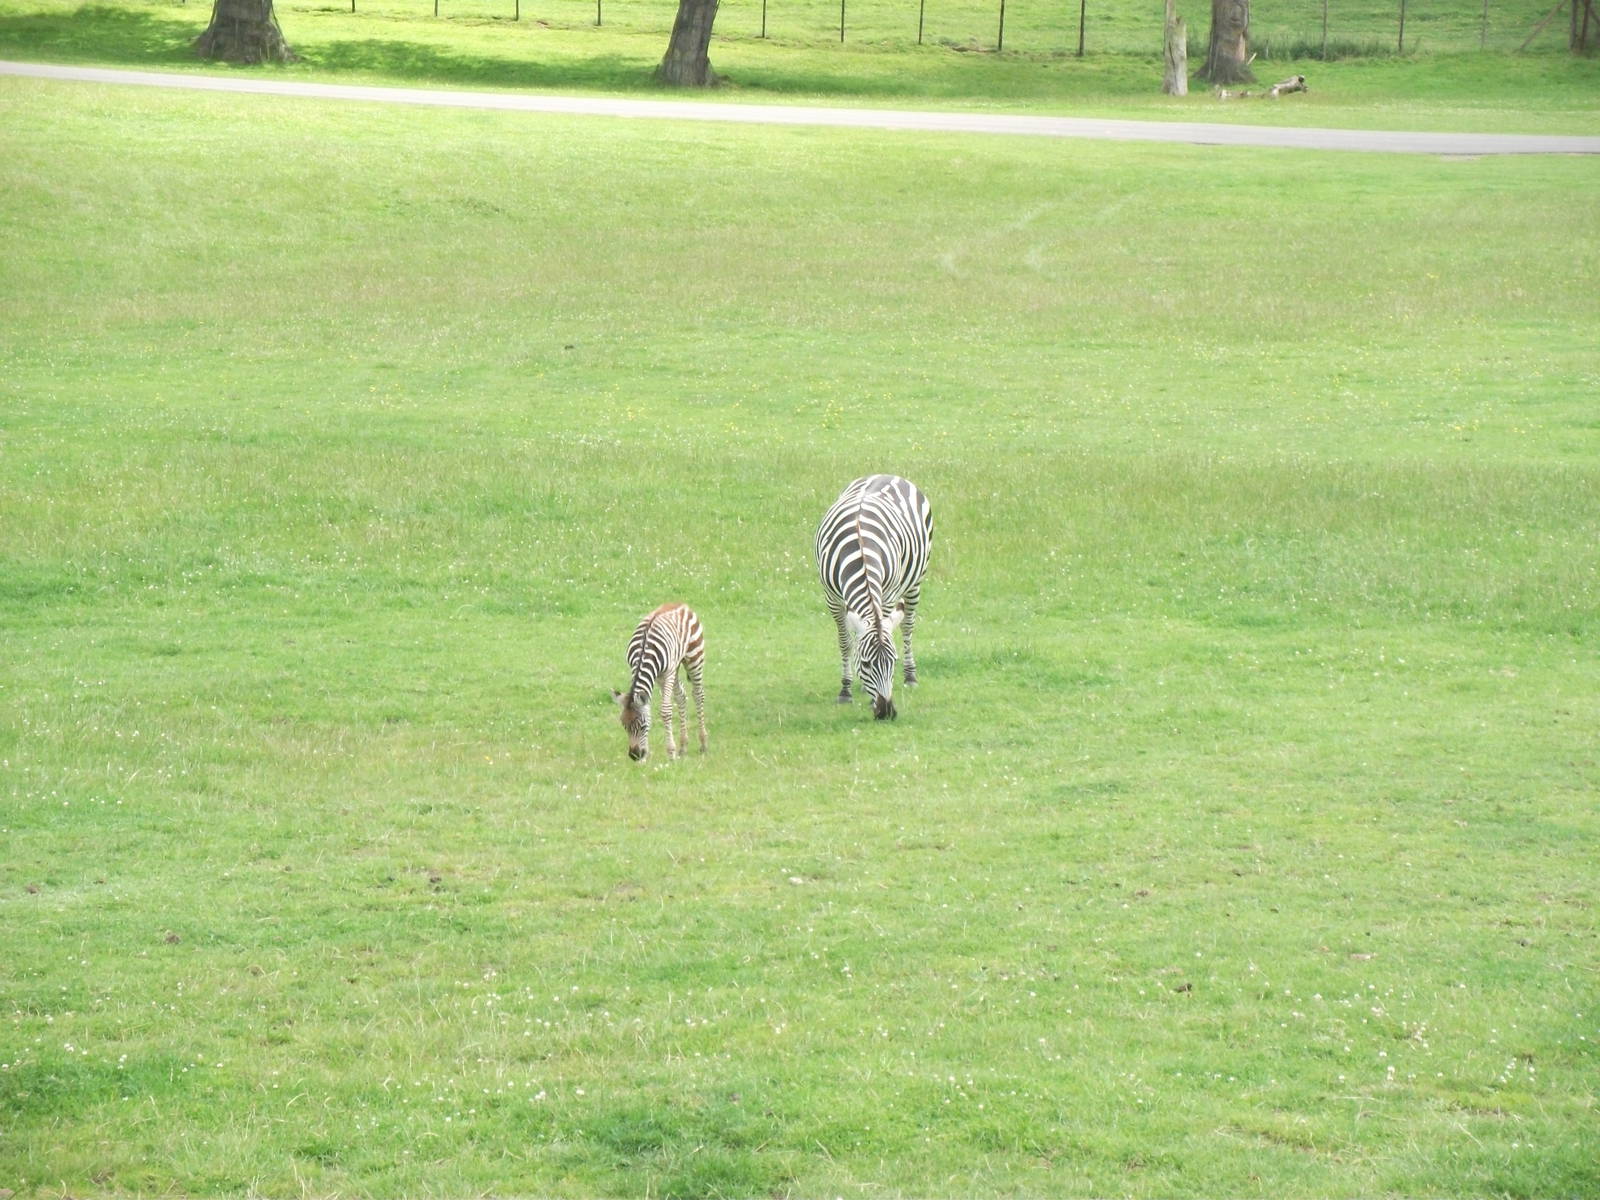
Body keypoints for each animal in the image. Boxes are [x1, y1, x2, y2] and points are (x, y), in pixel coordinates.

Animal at [611, 602, 707, 762]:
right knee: (681, 696)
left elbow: (666, 710)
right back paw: (683, 746)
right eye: (624, 726)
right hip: (674, 667)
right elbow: (648, 708)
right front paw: (645, 756)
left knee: (698, 695)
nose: (634, 756)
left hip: (694, 658)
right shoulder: (647, 673)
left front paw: (671, 752)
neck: (644, 652)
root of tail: (681, 603)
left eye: (643, 726)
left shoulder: (667, 673)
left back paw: (703, 743)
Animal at [815, 474, 933, 721]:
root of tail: (888, 475)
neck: (860, 550)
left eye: (893, 662)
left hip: (916, 581)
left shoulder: (887, 596)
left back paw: (910, 676)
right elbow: (846, 642)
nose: (886, 712)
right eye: (866, 664)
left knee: (907, 627)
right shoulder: (832, 598)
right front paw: (846, 689)